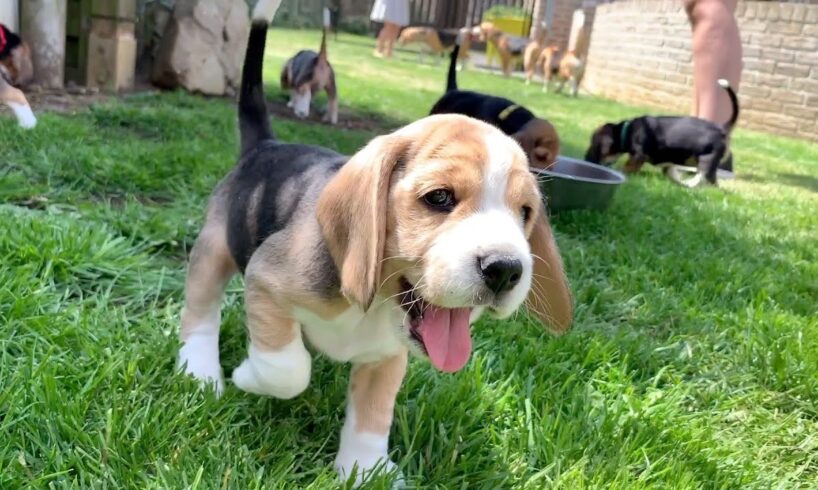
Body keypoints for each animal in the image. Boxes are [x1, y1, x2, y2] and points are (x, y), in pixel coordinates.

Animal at [584, 79, 736, 187]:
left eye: (594, 146)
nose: (586, 160)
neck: (626, 132)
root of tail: (721, 127)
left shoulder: (639, 155)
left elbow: (626, 167)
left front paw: (623, 174)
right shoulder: (669, 163)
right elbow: (672, 173)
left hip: (707, 160)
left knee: (709, 180)